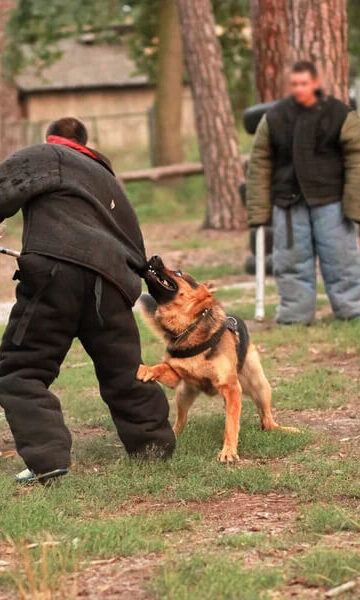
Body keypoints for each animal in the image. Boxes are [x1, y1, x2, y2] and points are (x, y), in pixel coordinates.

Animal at [136, 255, 296, 462]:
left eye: (179, 272)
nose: (154, 257)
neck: (190, 328)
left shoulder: (231, 388)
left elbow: (231, 425)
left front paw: (228, 451)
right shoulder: (174, 376)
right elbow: (161, 367)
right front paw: (146, 369)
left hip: (259, 385)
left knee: (267, 421)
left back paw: (283, 429)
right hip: (183, 394)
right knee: (181, 421)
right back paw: (175, 433)